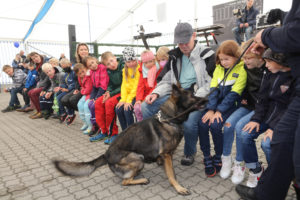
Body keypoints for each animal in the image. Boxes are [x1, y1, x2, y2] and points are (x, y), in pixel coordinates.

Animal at [53, 84, 206, 195]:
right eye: (192, 96)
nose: (207, 99)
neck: (169, 119)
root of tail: (106, 154)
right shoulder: (167, 155)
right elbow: (172, 174)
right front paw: (178, 188)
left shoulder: (167, 155)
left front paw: (159, 162)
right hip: (138, 158)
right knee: (125, 181)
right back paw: (142, 179)